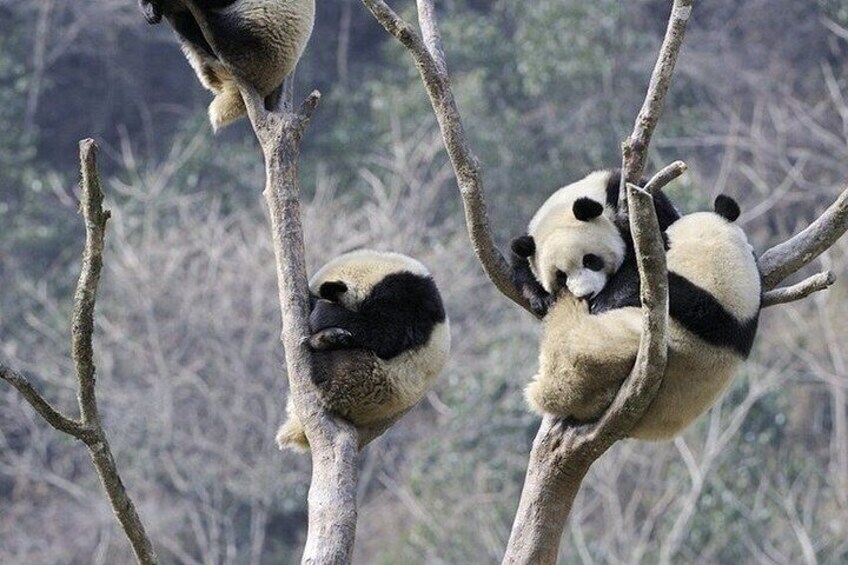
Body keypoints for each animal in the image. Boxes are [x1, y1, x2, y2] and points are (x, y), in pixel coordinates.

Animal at [276, 249, 451, 450]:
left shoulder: (407, 297)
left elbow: (387, 334)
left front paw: (321, 313)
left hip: (373, 382)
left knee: (336, 371)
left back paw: (326, 343)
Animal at [510, 169, 680, 317]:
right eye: (561, 277)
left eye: (590, 260)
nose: (586, 295)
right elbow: (520, 263)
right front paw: (542, 299)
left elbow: (641, 260)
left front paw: (605, 302)